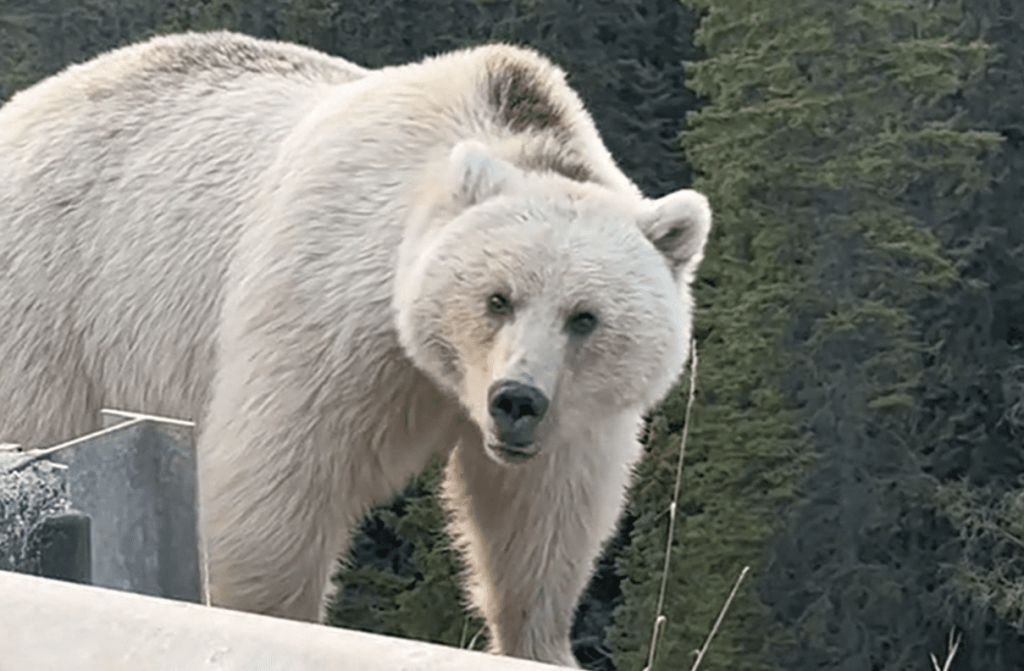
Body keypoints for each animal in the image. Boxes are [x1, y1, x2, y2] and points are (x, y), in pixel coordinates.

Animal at [0, 30, 708, 667]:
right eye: (497, 298)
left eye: (585, 317)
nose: (516, 400)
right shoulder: (334, 318)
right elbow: (273, 487)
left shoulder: (574, 418)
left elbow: (543, 525)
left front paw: (542, 643)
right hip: (54, 307)